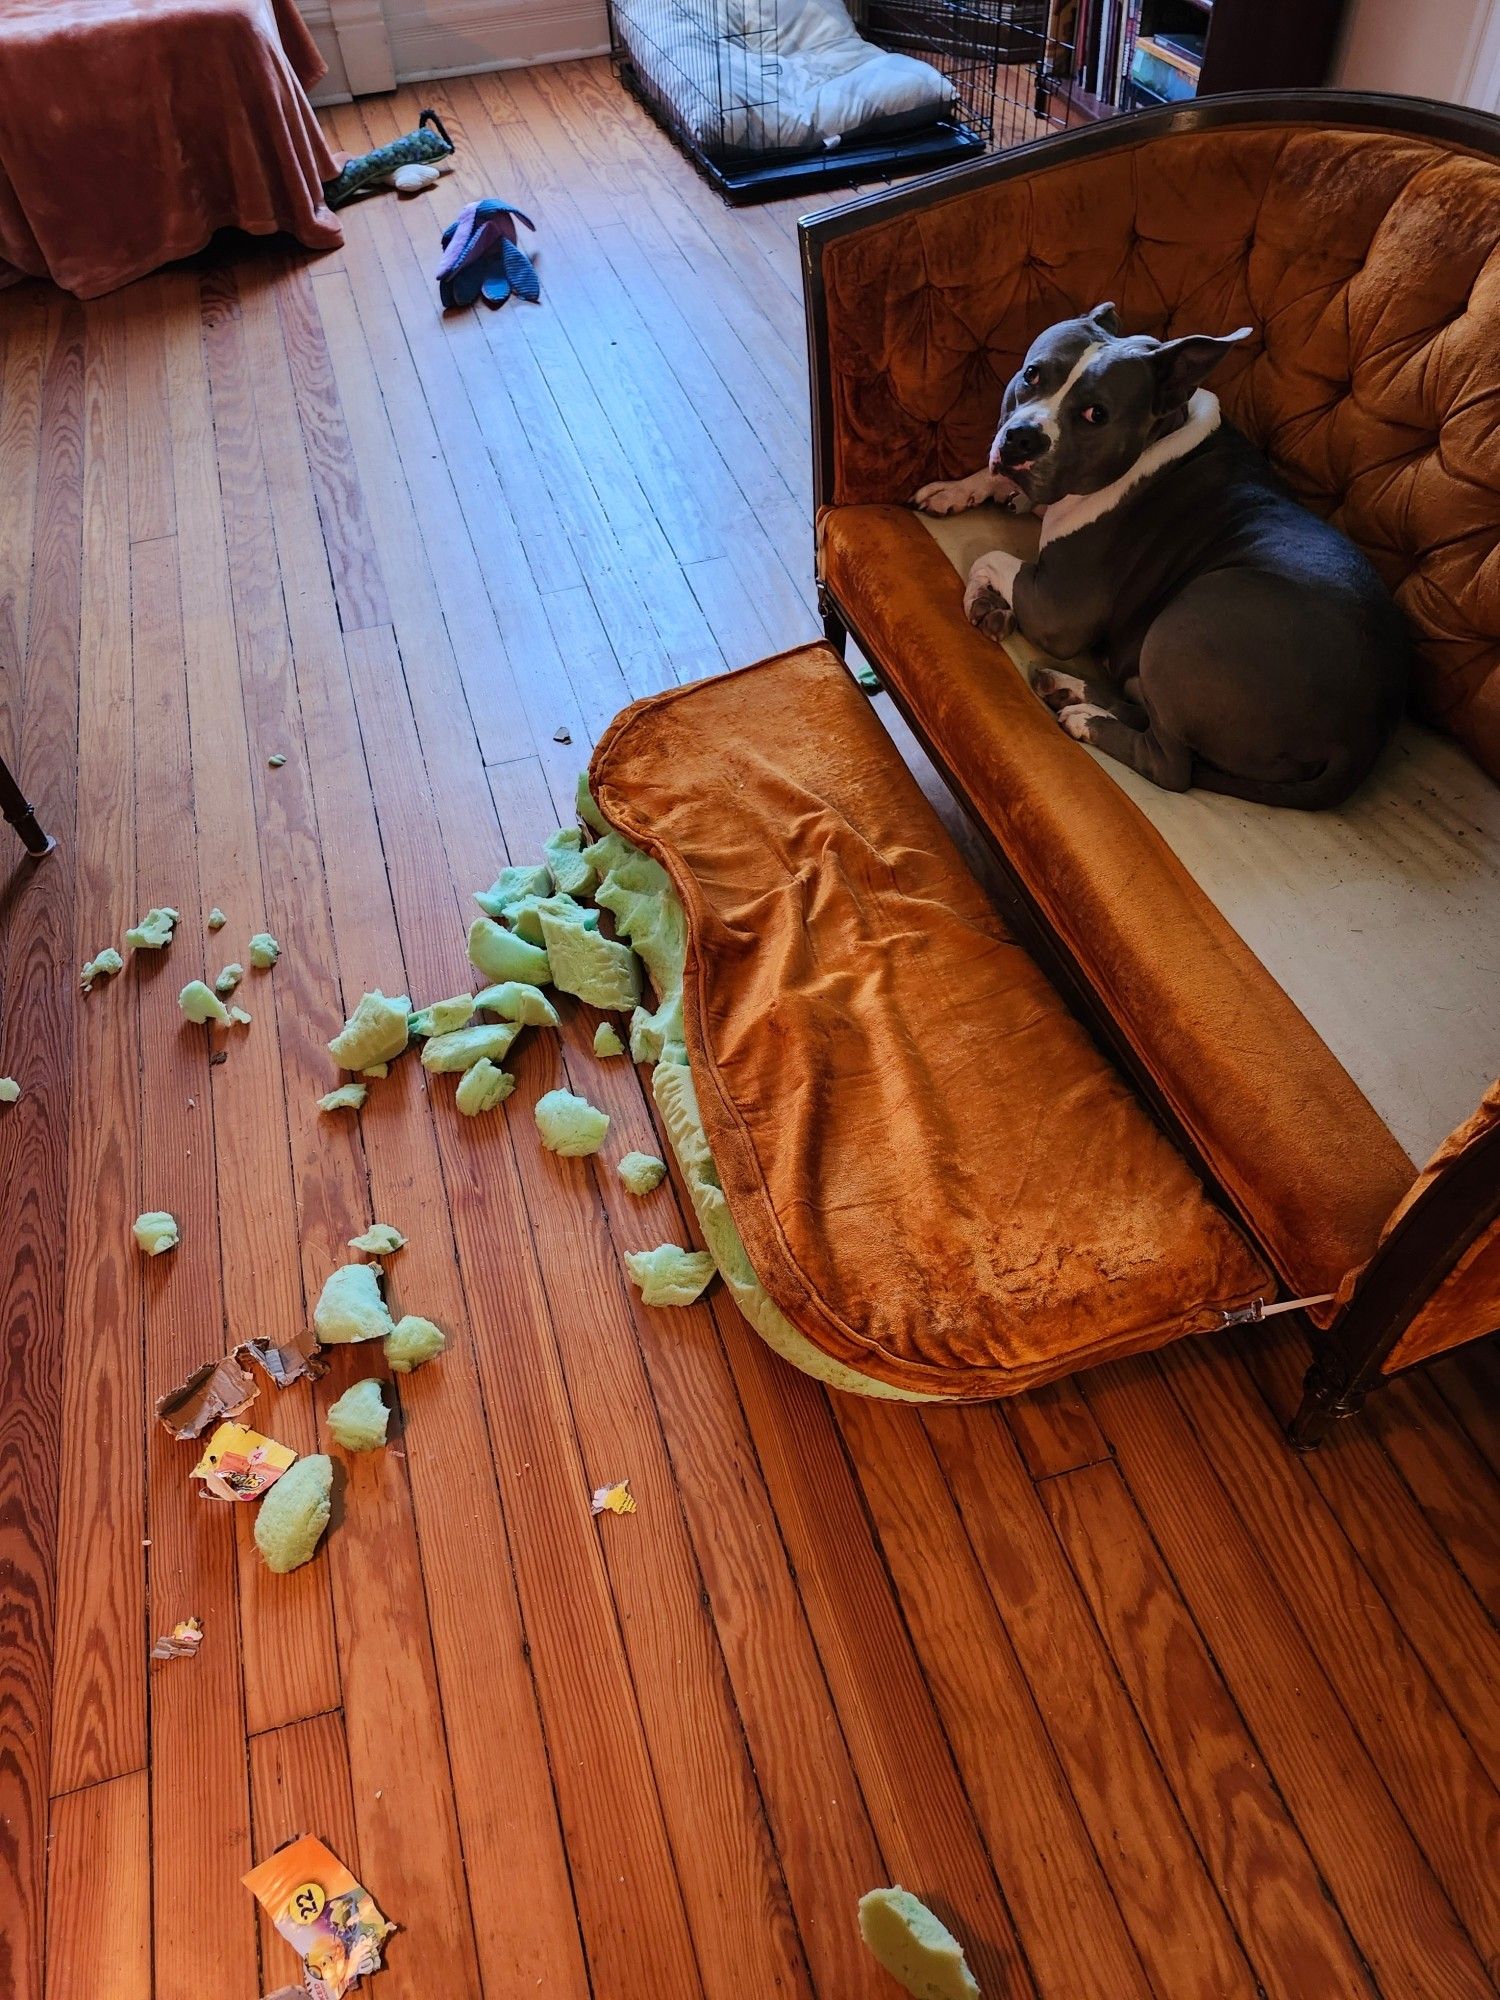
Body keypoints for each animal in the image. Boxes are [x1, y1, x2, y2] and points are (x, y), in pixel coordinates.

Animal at [912, 304, 1416, 804]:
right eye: (1032, 375)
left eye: (1096, 413)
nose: (1022, 438)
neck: (1159, 437)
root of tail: (1364, 737)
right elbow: (996, 486)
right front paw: (954, 491)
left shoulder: (1059, 608)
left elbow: (990, 556)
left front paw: (983, 600)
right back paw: (1069, 689)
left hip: (1187, 623)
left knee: (1171, 764)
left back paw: (1085, 719)